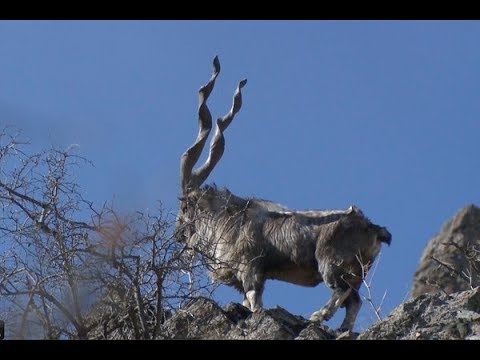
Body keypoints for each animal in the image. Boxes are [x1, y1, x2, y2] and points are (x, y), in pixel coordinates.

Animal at [176, 57, 390, 332]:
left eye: (184, 207)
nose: (177, 233)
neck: (229, 221)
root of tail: (373, 228)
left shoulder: (252, 268)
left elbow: (255, 302)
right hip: (355, 271)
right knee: (354, 301)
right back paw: (342, 330)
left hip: (332, 263)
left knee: (341, 291)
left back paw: (318, 316)